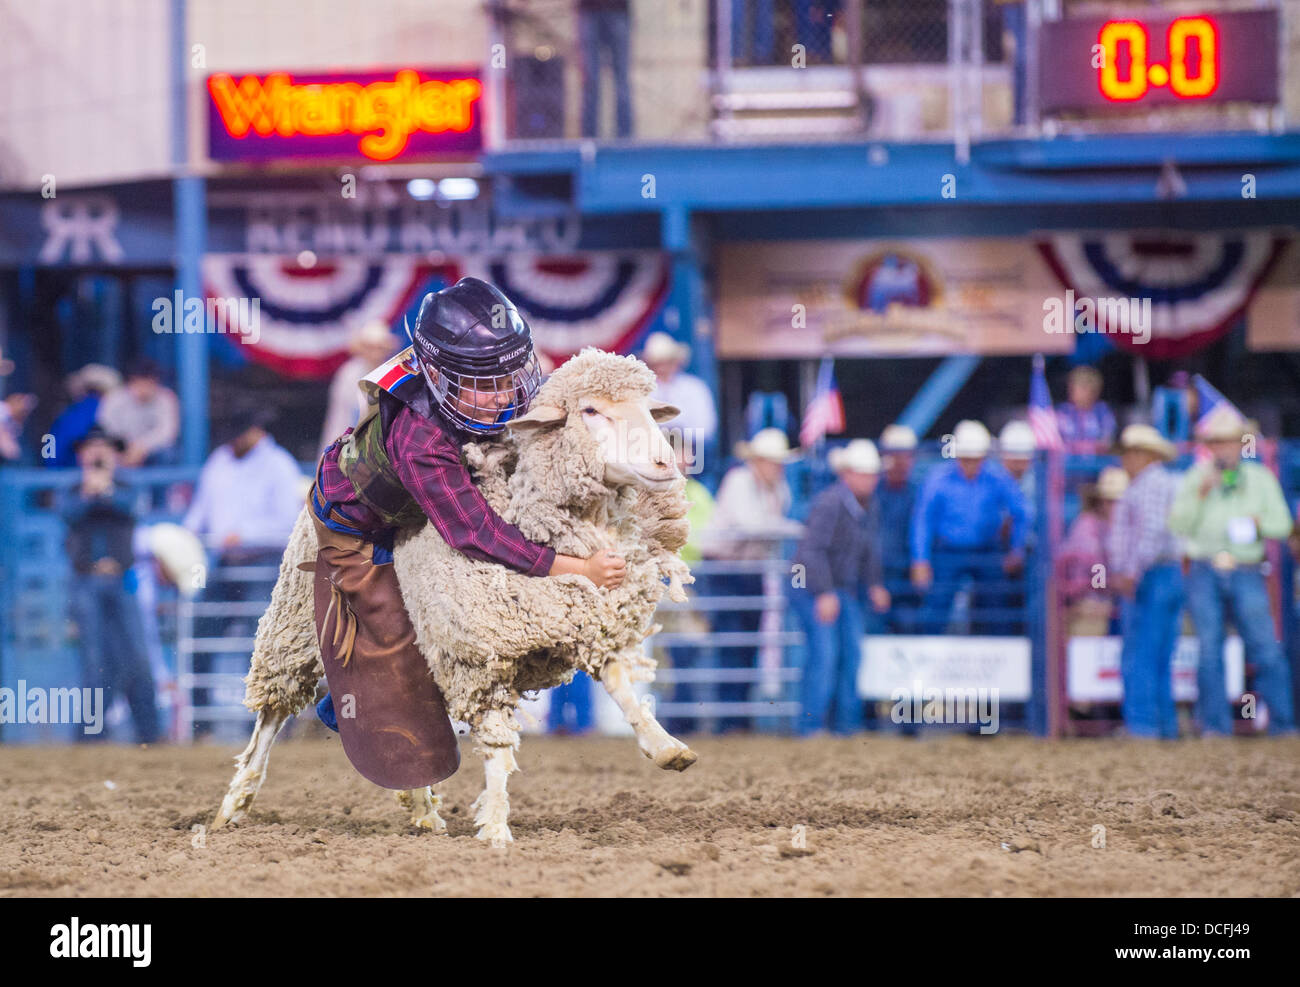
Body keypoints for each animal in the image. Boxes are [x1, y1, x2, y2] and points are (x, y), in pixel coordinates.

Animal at [214, 345, 702, 842]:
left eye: (646, 408)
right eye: (591, 411)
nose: (666, 464)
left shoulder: (583, 620)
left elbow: (624, 687)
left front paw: (666, 748)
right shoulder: (480, 654)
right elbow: (497, 746)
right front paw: (496, 829)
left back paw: (421, 806)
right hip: (295, 628)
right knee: (273, 713)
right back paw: (233, 804)